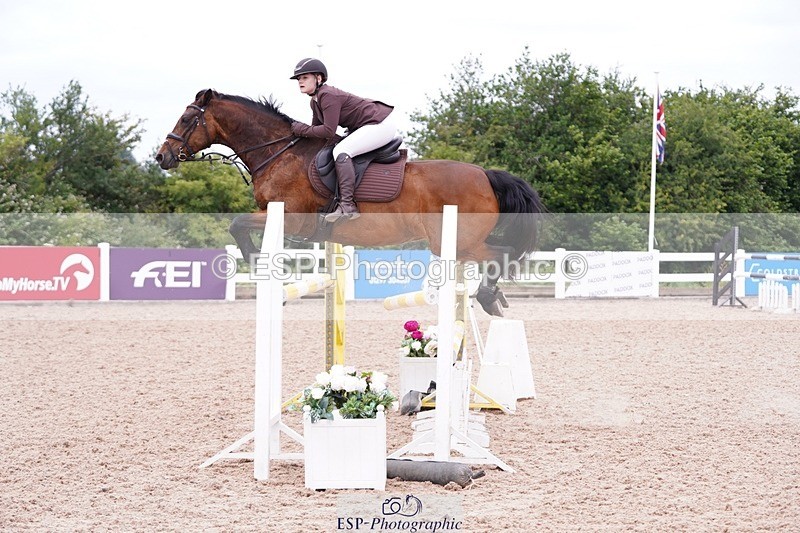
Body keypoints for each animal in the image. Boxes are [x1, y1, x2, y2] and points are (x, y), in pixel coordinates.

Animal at [155, 89, 546, 315]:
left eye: (187, 119)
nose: (162, 156)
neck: (278, 152)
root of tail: (486, 174)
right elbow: (238, 227)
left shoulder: (290, 218)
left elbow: (236, 225)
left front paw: (267, 274)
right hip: (460, 242)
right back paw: (493, 297)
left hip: (458, 242)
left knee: (503, 253)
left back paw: (489, 297)